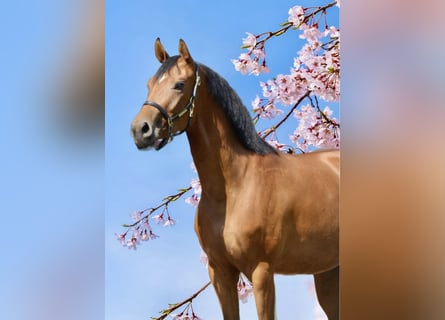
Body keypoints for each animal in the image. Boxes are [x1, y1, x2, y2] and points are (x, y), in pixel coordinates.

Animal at [130, 38, 338, 318]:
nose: (140, 130)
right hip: (328, 272)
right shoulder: (220, 272)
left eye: (179, 84)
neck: (234, 188)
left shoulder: (261, 271)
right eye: (149, 85)